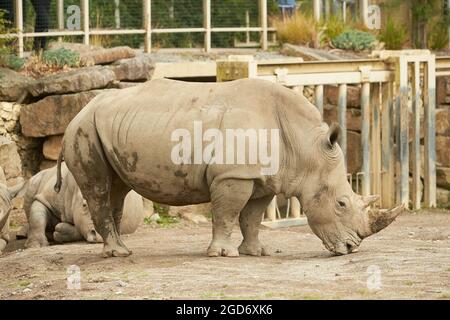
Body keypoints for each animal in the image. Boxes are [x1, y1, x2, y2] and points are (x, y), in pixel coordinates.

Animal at [59, 77, 400, 258]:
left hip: (105, 128)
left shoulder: (263, 178)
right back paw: (118, 253)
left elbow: (252, 217)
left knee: (117, 189)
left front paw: (256, 252)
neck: (305, 146)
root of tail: (78, 112)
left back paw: (120, 250)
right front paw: (223, 254)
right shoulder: (233, 174)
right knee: (99, 189)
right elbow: (227, 213)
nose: (351, 248)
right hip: (83, 130)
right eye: (341, 204)